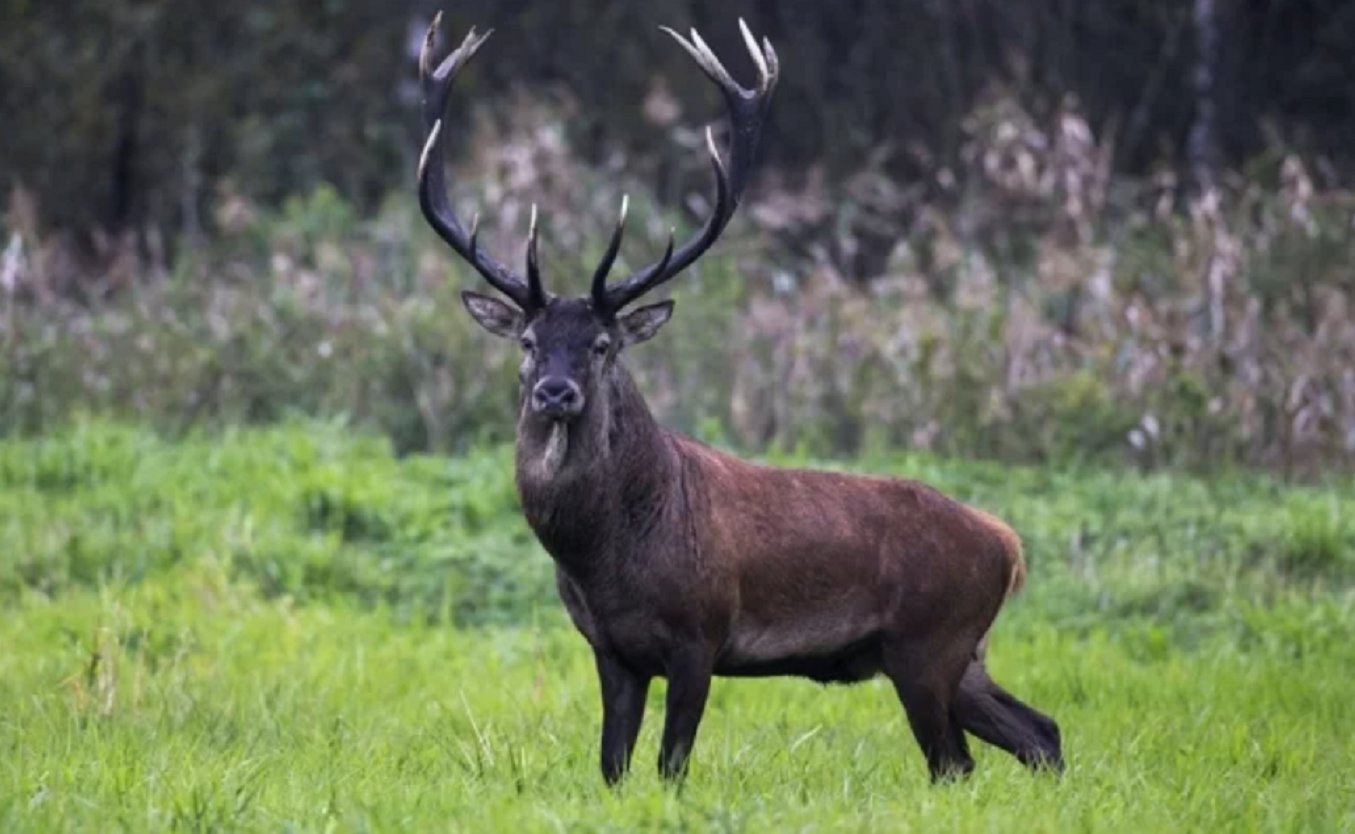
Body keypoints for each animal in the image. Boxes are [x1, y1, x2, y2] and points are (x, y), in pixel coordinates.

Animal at [417, 11, 1062, 781]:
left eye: (602, 344)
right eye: (527, 341)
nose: (554, 393)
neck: (601, 558)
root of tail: (1008, 545)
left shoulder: (701, 634)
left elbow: (671, 763)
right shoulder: (610, 648)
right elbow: (611, 765)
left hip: (928, 644)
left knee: (957, 762)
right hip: (960, 657)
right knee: (1040, 731)